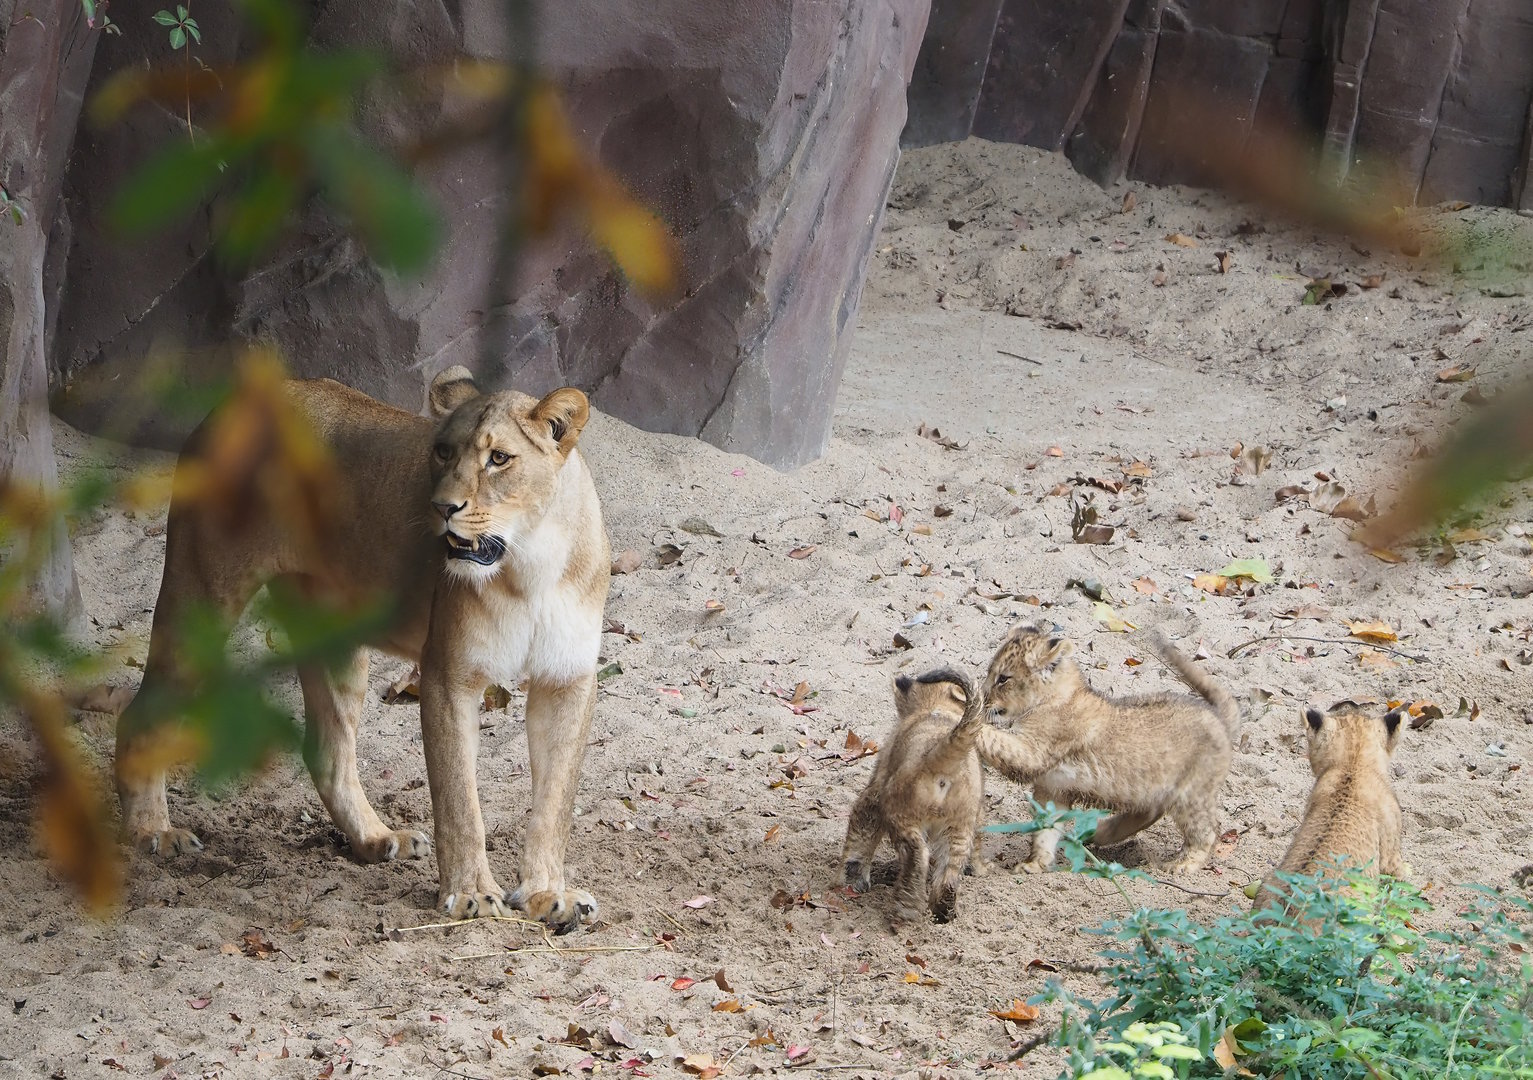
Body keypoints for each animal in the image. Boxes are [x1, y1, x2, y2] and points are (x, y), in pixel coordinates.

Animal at [114, 365, 610, 931]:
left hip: (333, 634)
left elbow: (554, 805)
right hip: (202, 596)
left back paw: (376, 839)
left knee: (328, 747)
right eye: (442, 452)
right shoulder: (448, 676)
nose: (443, 508)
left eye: (499, 459)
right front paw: (470, 895)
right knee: (139, 713)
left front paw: (548, 895)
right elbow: (460, 801)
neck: (530, 565)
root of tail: (237, 404)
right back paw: (152, 832)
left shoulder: (566, 681)